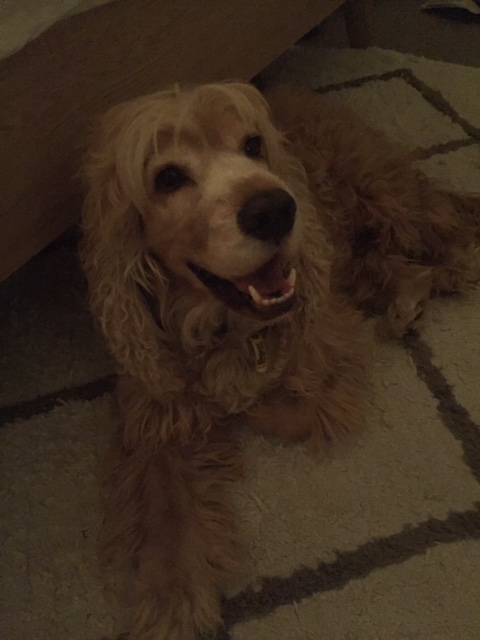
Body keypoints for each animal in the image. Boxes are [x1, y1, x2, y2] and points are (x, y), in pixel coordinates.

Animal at [80, 82, 479, 640]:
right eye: (168, 177)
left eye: (253, 145)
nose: (274, 208)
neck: (226, 322)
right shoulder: (153, 406)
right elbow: (166, 505)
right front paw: (173, 599)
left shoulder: (331, 340)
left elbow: (286, 410)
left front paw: (233, 401)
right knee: (387, 261)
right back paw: (404, 295)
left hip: (385, 197)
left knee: (449, 227)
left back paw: (440, 272)